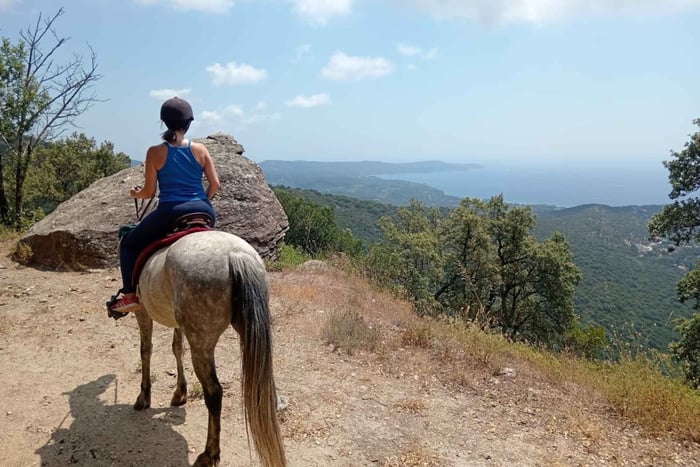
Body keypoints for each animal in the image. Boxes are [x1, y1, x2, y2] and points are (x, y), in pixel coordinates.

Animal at [131, 229, 286, 467]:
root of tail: (236, 255)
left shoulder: (142, 311)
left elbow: (145, 349)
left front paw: (144, 396)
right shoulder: (177, 323)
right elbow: (177, 348)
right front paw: (180, 393)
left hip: (202, 342)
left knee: (214, 393)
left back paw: (209, 453)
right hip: (247, 328)